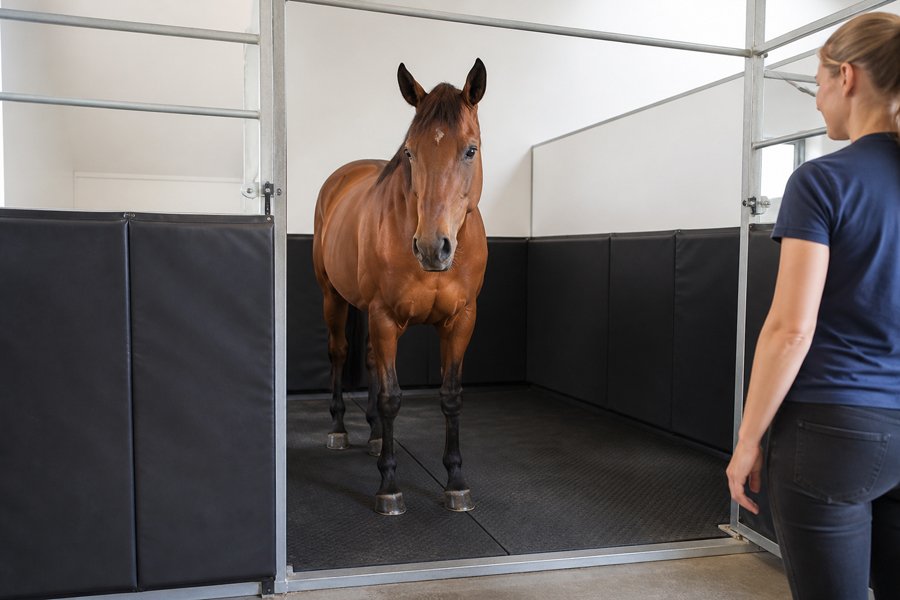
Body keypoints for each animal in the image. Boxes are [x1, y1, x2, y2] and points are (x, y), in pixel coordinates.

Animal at [312, 59, 488, 516]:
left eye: (471, 149)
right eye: (409, 152)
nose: (431, 247)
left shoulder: (462, 320)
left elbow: (451, 395)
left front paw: (456, 483)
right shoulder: (385, 317)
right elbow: (392, 397)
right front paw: (389, 487)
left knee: (372, 361)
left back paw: (375, 437)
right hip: (333, 297)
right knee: (339, 354)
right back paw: (340, 430)